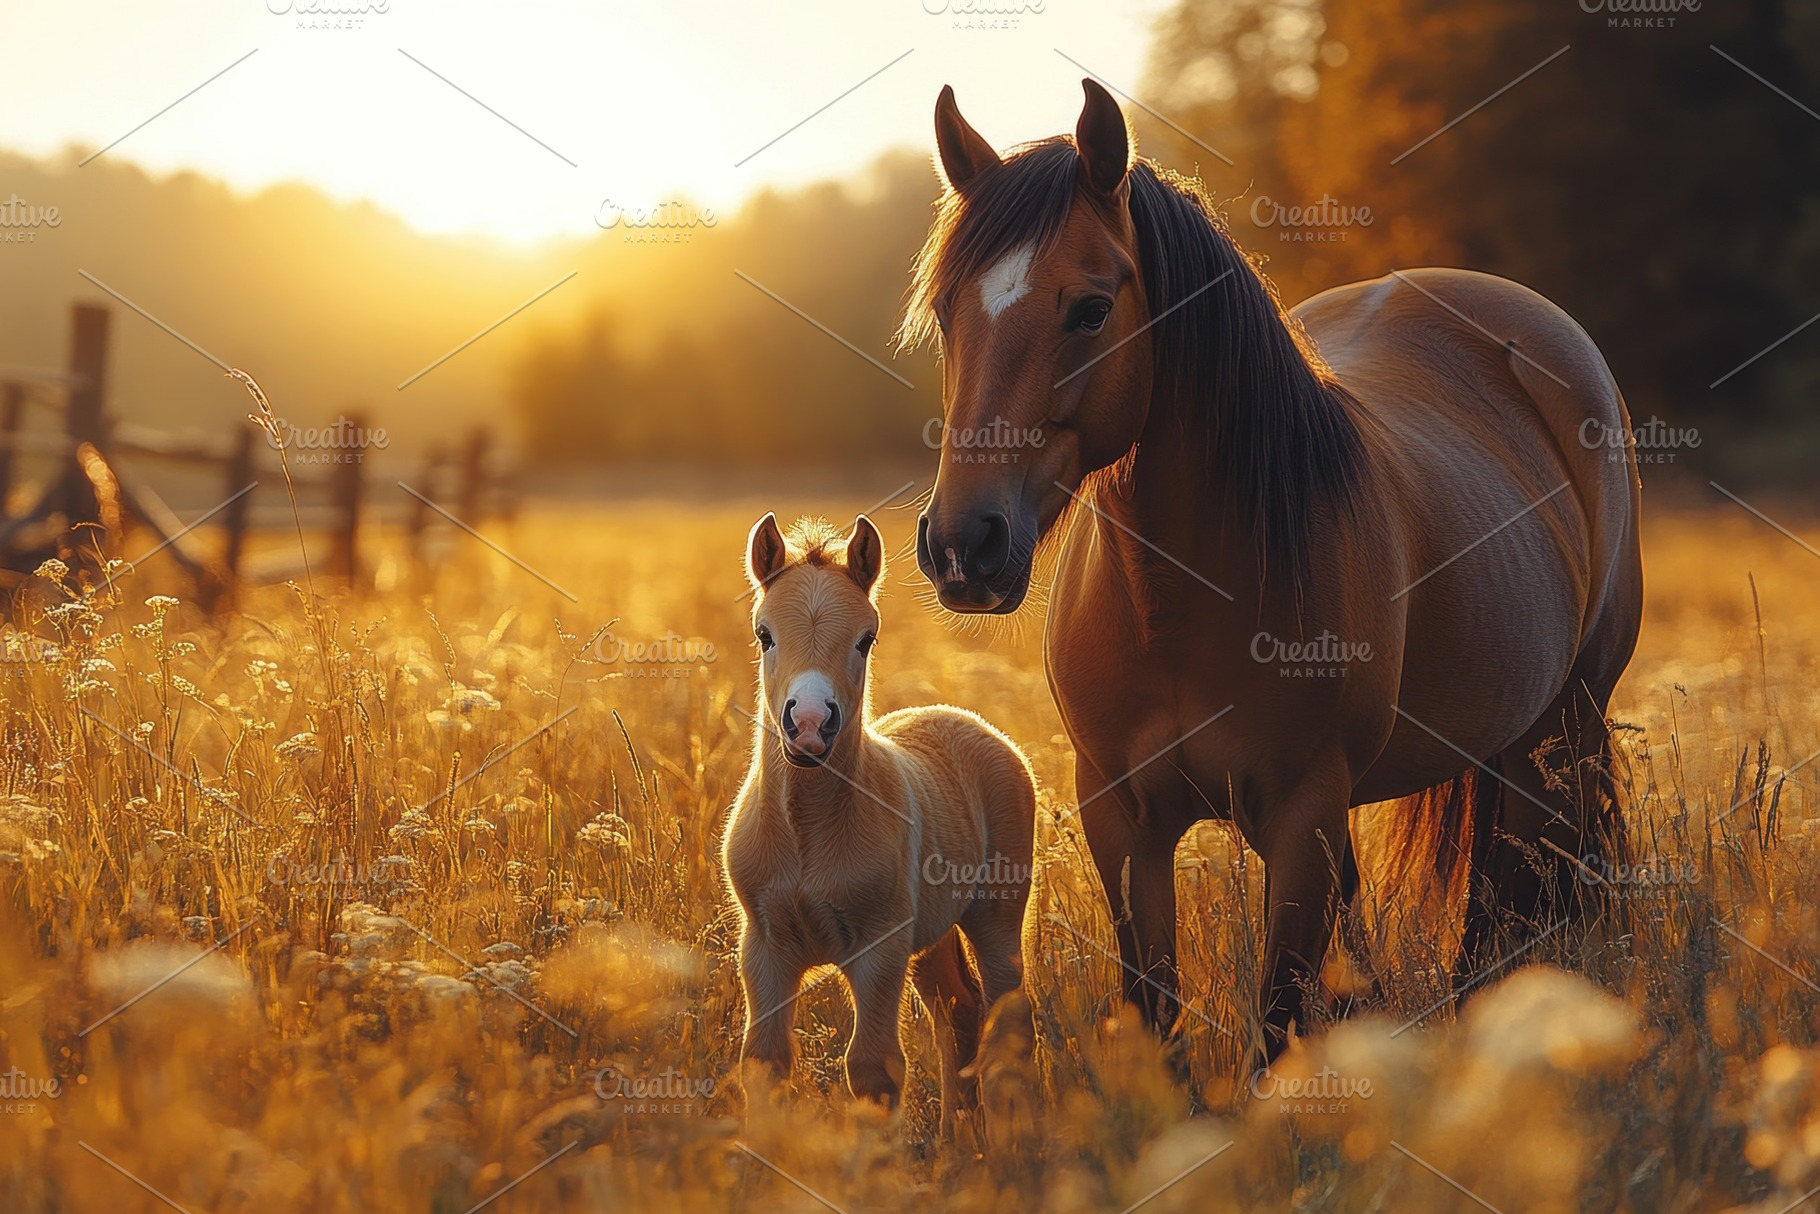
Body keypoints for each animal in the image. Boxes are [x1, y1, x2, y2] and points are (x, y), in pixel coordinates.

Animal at [722, 513, 1036, 1132]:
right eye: (764, 634)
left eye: (866, 639)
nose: (810, 725)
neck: (807, 831)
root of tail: (965, 719)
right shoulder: (764, 947)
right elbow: (765, 1061)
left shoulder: (879, 948)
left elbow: (874, 1068)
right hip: (932, 936)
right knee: (959, 1012)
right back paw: (958, 1140)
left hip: (996, 917)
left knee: (1008, 1025)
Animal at [903, 80, 1642, 1063]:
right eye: (949, 311)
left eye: (1091, 309)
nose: (964, 545)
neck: (1181, 607)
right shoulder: (1121, 820)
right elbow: (1159, 1011)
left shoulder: (1302, 820)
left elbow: (1279, 1019)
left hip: (1557, 737)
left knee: (1500, 923)